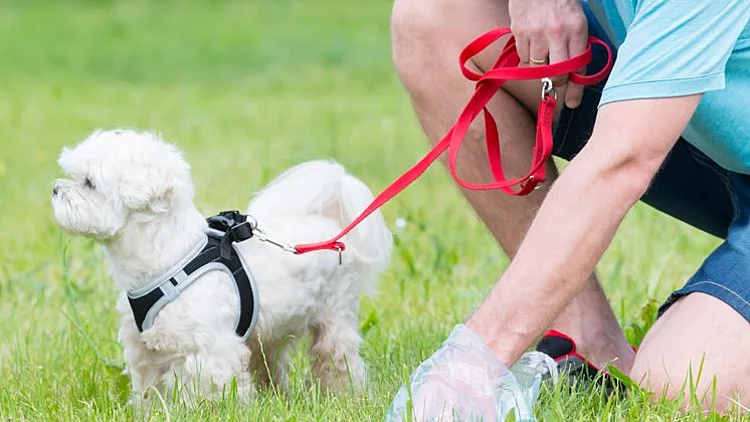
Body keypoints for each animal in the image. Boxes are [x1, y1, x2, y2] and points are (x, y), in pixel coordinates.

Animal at [51, 129, 394, 406]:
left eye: (89, 183)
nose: (55, 188)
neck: (169, 257)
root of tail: (330, 224)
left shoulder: (210, 351)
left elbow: (208, 391)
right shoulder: (145, 350)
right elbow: (149, 392)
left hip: (334, 316)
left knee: (337, 358)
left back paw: (346, 395)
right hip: (268, 332)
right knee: (270, 363)